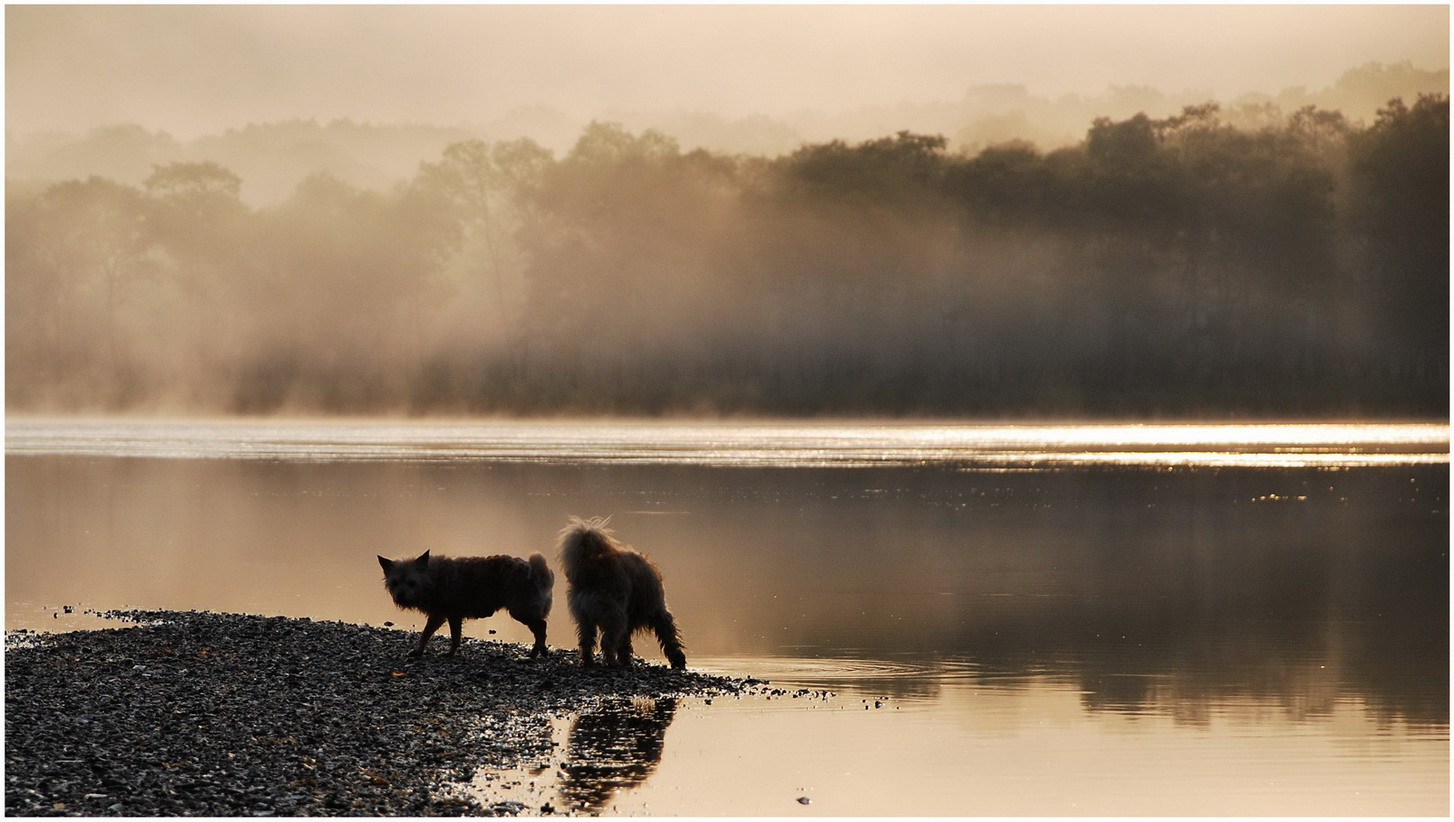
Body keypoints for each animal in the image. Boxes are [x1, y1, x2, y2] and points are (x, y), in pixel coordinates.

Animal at [378, 547, 552, 657]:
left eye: (412, 583)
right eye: (395, 583)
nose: (400, 595)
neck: (431, 578)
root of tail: (536, 574)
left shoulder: (450, 614)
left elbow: (450, 636)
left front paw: (449, 653)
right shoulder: (441, 615)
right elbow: (428, 634)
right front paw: (419, 651)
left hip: (521, 610)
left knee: (541, 626)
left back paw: (539, 651)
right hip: (524, 611)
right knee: (538, 629)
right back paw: (535, 652)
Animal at [558, 515, 689, 669]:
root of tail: (591, 568)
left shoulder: (628, 621)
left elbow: (624, 643)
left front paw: (625, 659)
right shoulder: (658, 611)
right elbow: (669, 637)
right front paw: (678, 658)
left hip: (585, 619)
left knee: (586, 641)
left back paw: (589, 661)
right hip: (615, 616)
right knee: (607, 642)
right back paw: (612, 663)